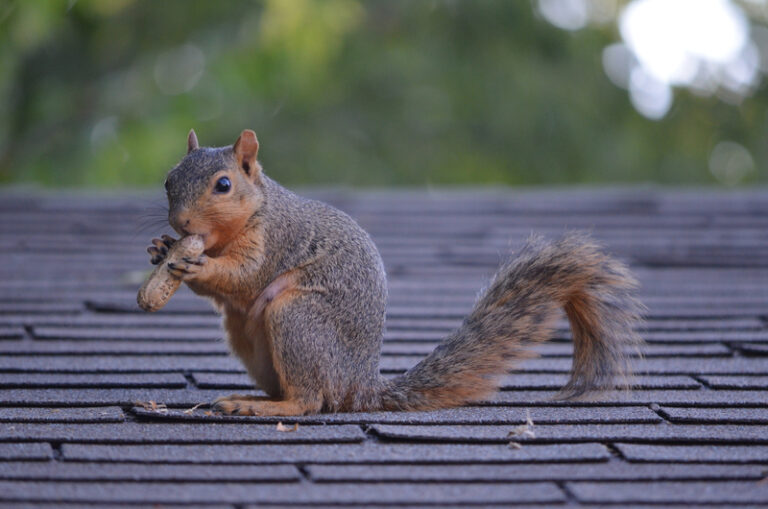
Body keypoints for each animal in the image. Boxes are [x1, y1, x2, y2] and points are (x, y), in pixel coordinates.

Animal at [147, 129, 644, 416]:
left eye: (224, 185)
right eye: (168, 179)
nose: (181, 224)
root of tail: (361, 385)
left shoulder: (276, 239)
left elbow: (246, 275)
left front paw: (197, 263)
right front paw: (161, 249)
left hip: (298, 318)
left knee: (311, 400)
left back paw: (266, 408)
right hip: (248, 338)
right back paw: (253, 398)